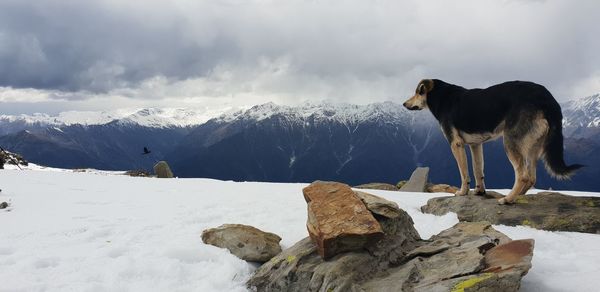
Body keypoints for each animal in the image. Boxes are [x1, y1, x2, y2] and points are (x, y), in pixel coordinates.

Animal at [404, 78, 580, 204]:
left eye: (418, 92)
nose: (404, 104)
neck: (442, 96)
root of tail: (548, 99)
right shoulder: (476, 144)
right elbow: (478, 169)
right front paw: (479, 191)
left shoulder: (456, 144)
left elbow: (464, 172)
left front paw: (462, 192)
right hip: (533, 145)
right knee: (531, 177)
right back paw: (519, 196)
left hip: (511, 141)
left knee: (523, 175)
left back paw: (508, 199)